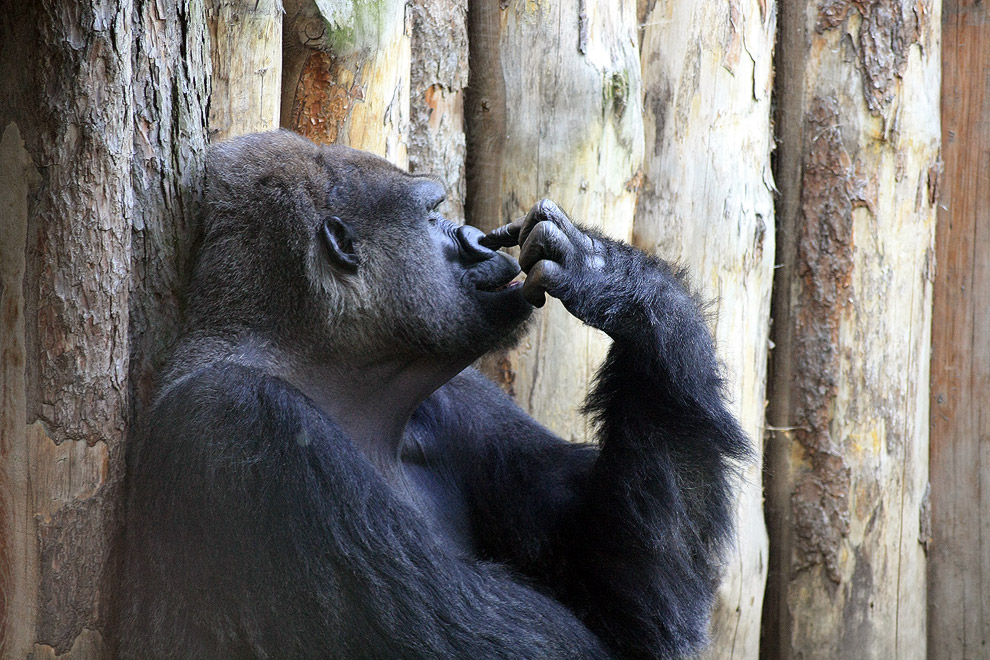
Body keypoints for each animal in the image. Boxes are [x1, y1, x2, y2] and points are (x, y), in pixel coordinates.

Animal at [116, 130, 748, 660]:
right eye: (431, 214)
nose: (474, 238)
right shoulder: (246, 419)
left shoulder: (464, 400)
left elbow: (630, 606)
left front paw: (618, 279)